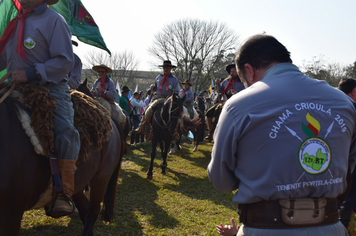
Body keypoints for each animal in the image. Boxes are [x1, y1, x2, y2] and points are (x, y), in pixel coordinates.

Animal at [0, 89, 126, 235]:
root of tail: (111, 119)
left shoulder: (11, 215)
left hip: (101, 179)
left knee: (92, 214)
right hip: (78, 183)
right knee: (85, 210)